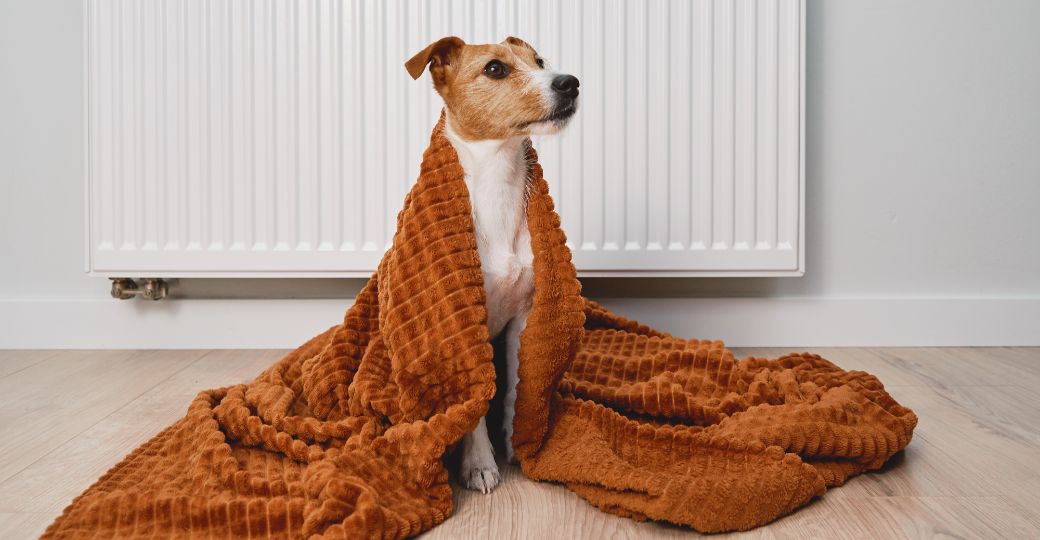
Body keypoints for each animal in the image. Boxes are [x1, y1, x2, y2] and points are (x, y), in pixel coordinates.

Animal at [405, 35, 582, 495]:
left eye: (540, 61)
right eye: (495, 69)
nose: (570, 82)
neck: (497, 181)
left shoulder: (524, 317)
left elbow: (515, 390)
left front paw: (516, 441)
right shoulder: (464, 326)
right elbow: (475, 405)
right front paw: (480, 463)